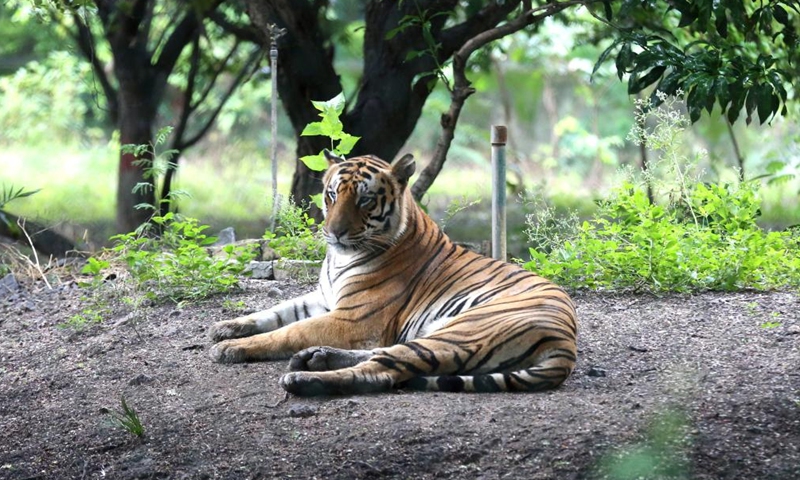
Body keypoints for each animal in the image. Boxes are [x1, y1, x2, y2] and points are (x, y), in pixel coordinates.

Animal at [209, 152, 580, 396]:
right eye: (332, 194)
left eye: (365, 199)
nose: (334, 232)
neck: (339, 259)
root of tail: (566, 343)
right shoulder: (326, 298)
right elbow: (277, 311)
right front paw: (226, 327)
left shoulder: (354, 318)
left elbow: (289, 331)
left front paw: (231, 348)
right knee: (386, 355)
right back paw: (315, 357)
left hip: (462, 332)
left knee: (383, 371)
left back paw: (305, 378)